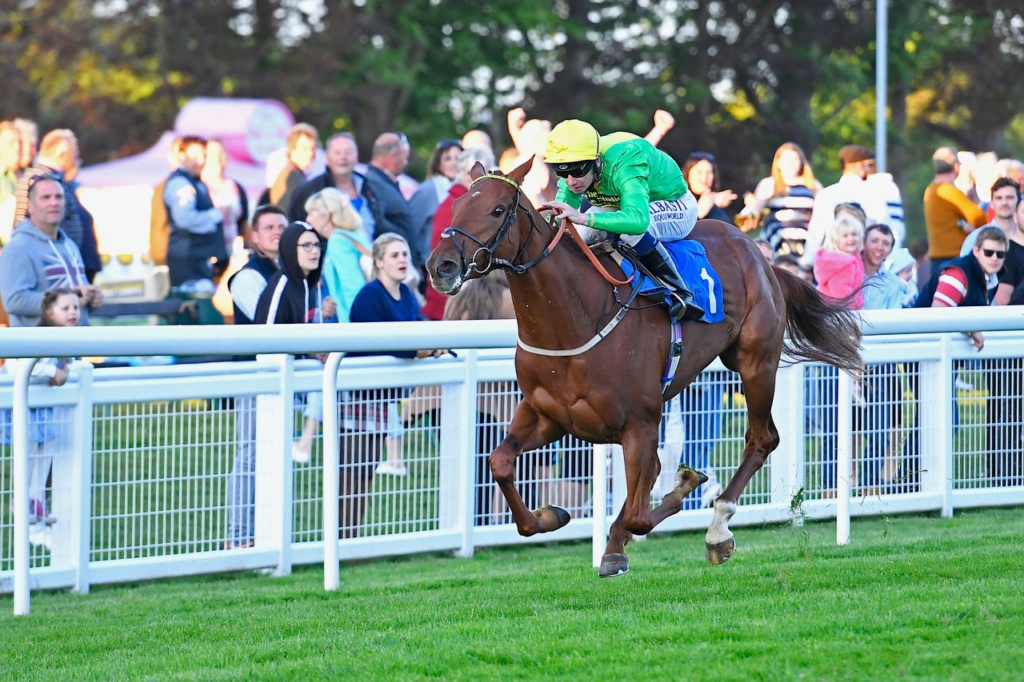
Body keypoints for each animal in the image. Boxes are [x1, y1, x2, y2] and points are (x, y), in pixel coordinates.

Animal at [425, 161, 864, 577]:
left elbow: (638, 514)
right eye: (458, 206)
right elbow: (501, 465)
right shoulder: (548, 416)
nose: (440, 266)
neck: (575, 320)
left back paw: (718, 530)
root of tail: (757, 253)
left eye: (497, 210)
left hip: (756, 362)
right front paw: (551, 515)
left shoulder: (639, 423)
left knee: (761, 439)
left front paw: (633, 533)